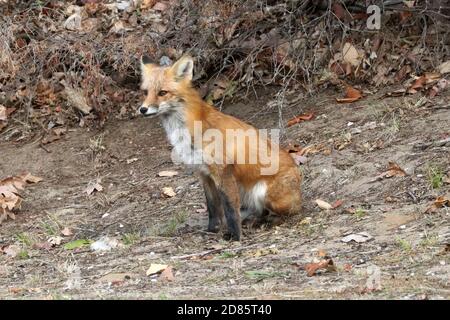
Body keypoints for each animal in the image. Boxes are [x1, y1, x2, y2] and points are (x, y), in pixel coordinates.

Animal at [140, 55, 302, 240]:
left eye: (162, 92)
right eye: (145, 92)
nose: (142, 109)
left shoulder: (222, 171)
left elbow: (230, 208)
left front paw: (235, 236)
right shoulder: (204, 174)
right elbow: (213, 207)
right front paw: (213, 230)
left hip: (264, 193)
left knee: (288, 212)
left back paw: (267, 221)